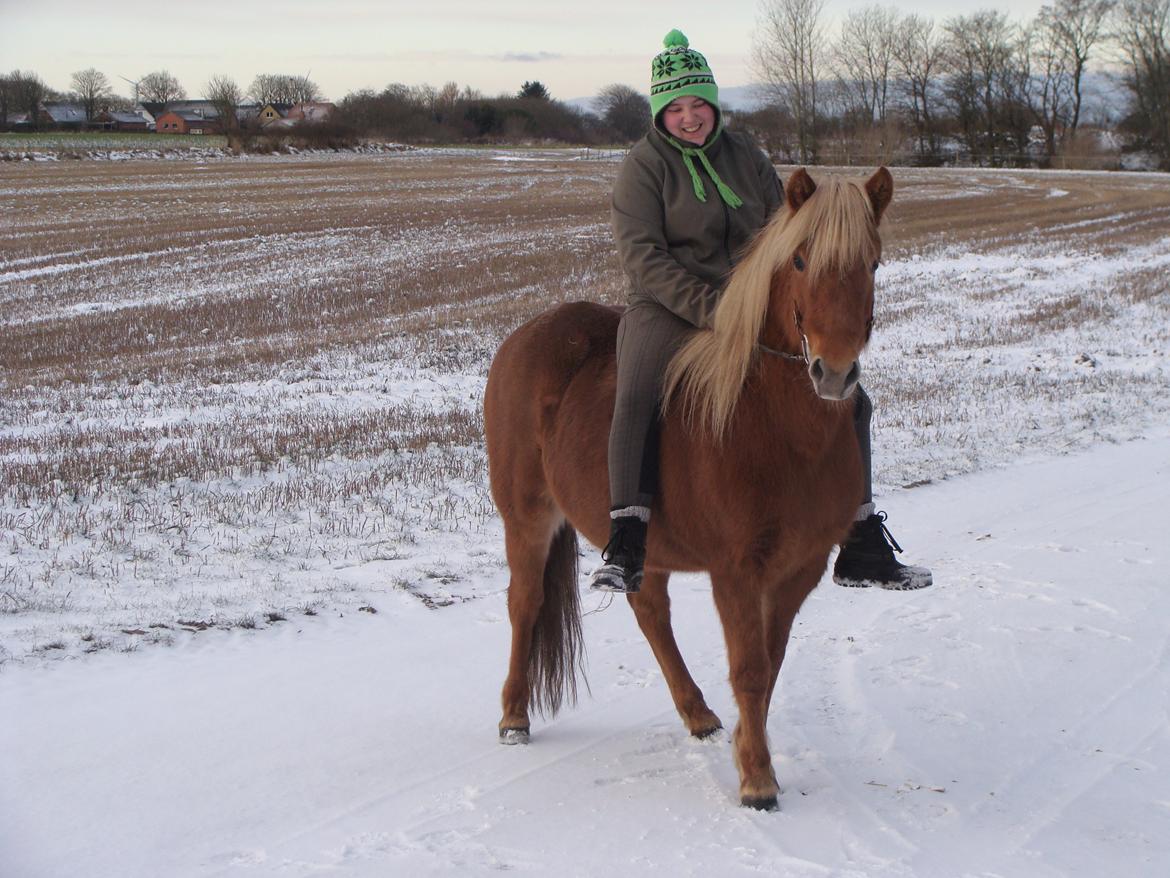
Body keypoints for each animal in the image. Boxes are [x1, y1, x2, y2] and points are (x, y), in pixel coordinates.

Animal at [484, 165, 893, 810]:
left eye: (873, 264)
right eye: (800, 260)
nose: (834, 372)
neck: (774, 422)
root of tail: (528, 334)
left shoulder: (799, 566)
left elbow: (770, 664)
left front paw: (748, 751)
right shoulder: (736, 570)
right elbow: (750, 669)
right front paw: (757, 781)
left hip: (643, 544)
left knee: (649, 609)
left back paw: (698, 714)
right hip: (526, 518)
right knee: (525, 604)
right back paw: (514, 717)